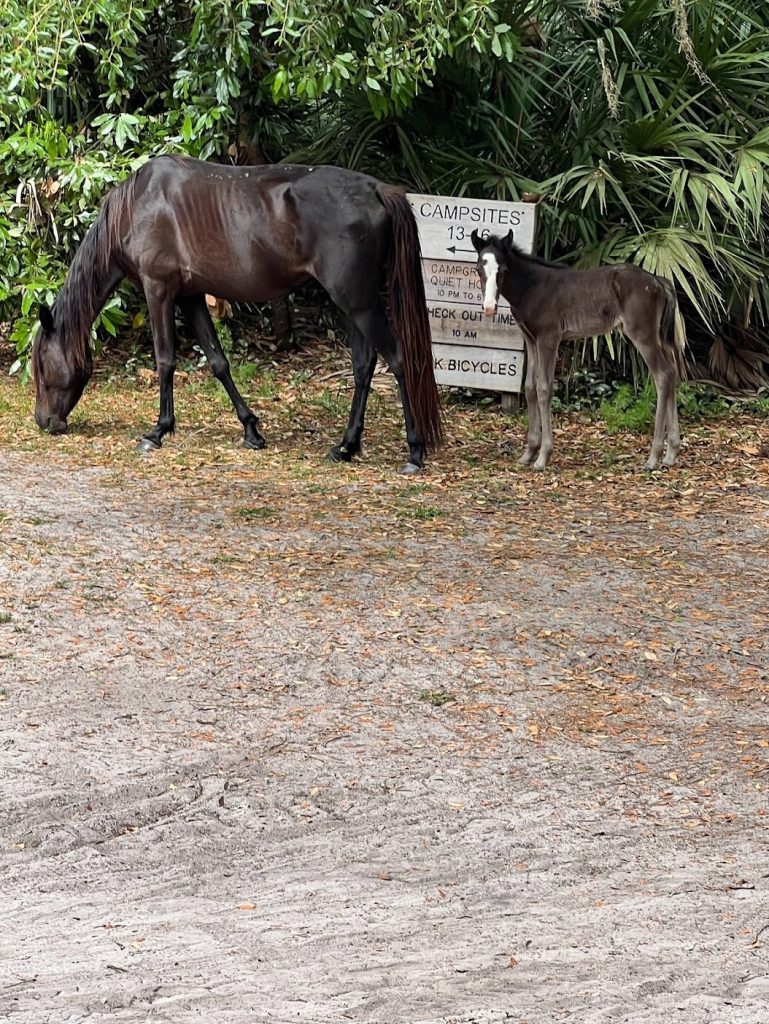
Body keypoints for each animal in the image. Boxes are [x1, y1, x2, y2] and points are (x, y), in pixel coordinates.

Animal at [33, 156, 442, 471]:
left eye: (42, 366)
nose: (45, 422)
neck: (139, 204)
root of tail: (376, 189)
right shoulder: (191, 295)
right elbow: (218, 362)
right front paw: (251, 430)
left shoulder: (159, 289)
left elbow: (165, 360)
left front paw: (157, 431)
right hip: (350, 304)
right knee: (363, 365)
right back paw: (346, 446)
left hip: (358, 302)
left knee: (398, 359)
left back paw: (414, 452)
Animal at [475, 229, 684, 471]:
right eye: (478, 268)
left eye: (504, 269)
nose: (489, 307)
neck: (532, 287)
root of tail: (659, 281)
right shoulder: (531, 339)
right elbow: (529, 387)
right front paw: (528, 453)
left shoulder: (549, 338)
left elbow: (544, 389)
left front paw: (543, 456)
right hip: (658, 336)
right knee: (673, 372)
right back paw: (671, 454)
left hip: (642, 334)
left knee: (663, 374)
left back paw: (654, 457)